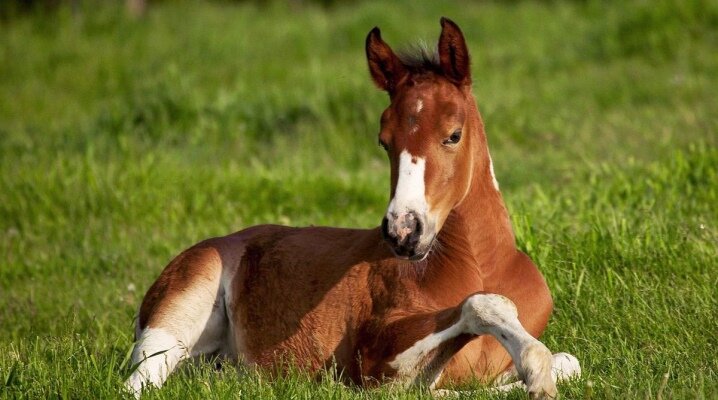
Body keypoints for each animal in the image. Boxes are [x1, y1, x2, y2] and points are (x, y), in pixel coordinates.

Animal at [126, 17, 584, 398]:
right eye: (384, 141)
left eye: (453, 134)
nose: (403, 230)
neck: (480, 265)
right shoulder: (375, 357)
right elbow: (479, 308)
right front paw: (535, 372)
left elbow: (569, 362)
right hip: (176, 314)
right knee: (138, 382)